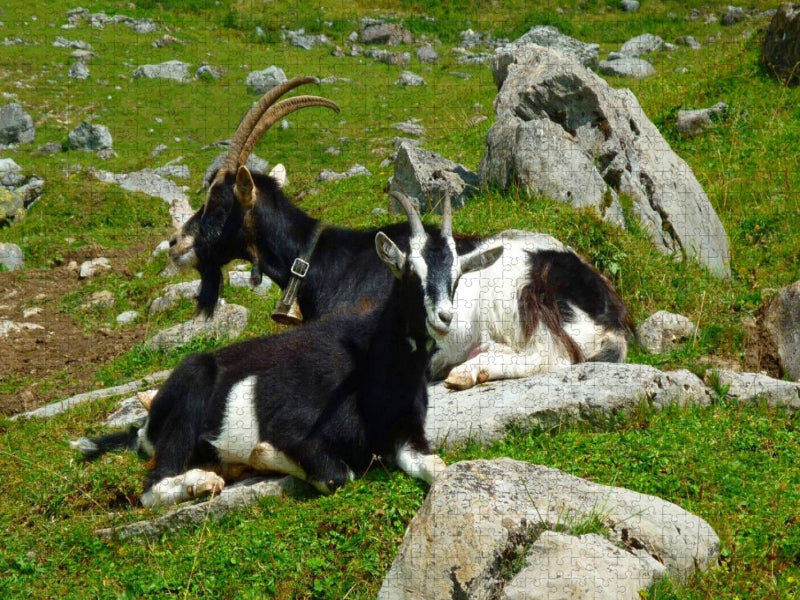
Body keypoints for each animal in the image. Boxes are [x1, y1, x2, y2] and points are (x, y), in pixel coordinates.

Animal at [71, 195, 502, 507]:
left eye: (458, 275)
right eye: (409, 270)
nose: (444, 318)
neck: (372, 364)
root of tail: (146, 425)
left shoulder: (406, 435)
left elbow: (439, 466)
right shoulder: (298, 433)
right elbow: (337, 475)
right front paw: (260, 454)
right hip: (187, 402)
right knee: (151, 488)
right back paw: (205, 480)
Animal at [169, 76, 634, 390]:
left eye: (218, 203)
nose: (175, 244)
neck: (320, 260)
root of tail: (609, 310)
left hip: (520, 297)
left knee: (555, 354)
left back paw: (468, 369)